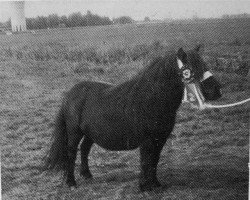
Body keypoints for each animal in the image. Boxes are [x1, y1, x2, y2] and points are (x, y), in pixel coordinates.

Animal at [44, 45, 222, 191]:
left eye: (205, 65)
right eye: (192, 69)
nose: (217, 90)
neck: (151, 99)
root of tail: (70, 93)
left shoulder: (160, 139)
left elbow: (154, 161)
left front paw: (156, 184)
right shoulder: (147, 140)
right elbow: (146, 161)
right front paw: (144, 187)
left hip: (90, 133)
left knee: (85, 149)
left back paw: (87, 175)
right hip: (74, 132)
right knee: (71, 153)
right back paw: (71, 182)